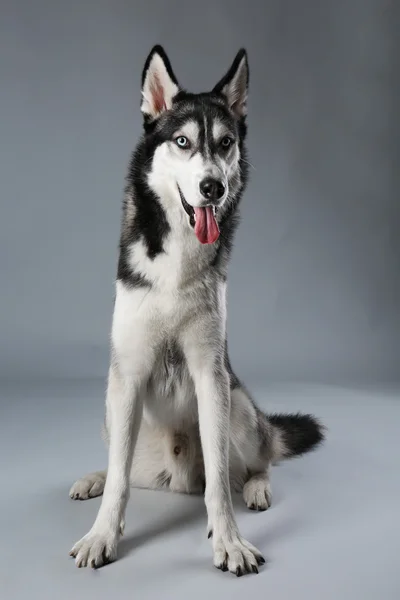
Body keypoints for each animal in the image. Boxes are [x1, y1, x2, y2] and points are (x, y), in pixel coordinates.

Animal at [69, 45, 324, 576]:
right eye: (183, 141)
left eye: (225, 143)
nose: (212, 188)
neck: (179, 258)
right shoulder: (128, 373)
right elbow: (121, 479)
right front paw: (103, 533)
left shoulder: (211, 374)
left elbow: (219, 485)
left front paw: (228, 541)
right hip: (112, 404)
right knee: (125, 464)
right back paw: (94, 477)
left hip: (239, 406)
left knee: (256, 459)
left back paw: (257, 486)